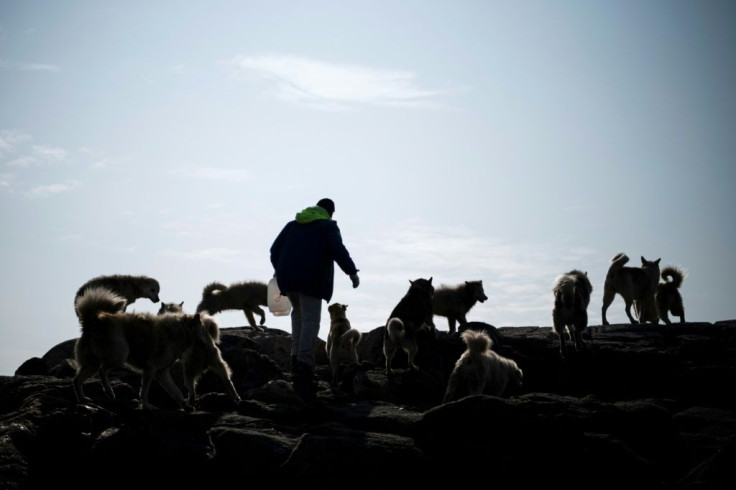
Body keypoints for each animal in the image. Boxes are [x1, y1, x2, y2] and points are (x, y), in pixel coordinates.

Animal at [72, 288, 239, 410]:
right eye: (203, 329)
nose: (206, 339)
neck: (181, 331)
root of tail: (93, 319)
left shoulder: (161, 373)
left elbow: (176, 392)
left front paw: (185, 406)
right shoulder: (151, 370)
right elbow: (145, 392)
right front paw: (146, 406)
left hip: (93, 363)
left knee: (77, 380)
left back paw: (83, 399)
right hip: (120, 354)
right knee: (102, 371)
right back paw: (108, 392)